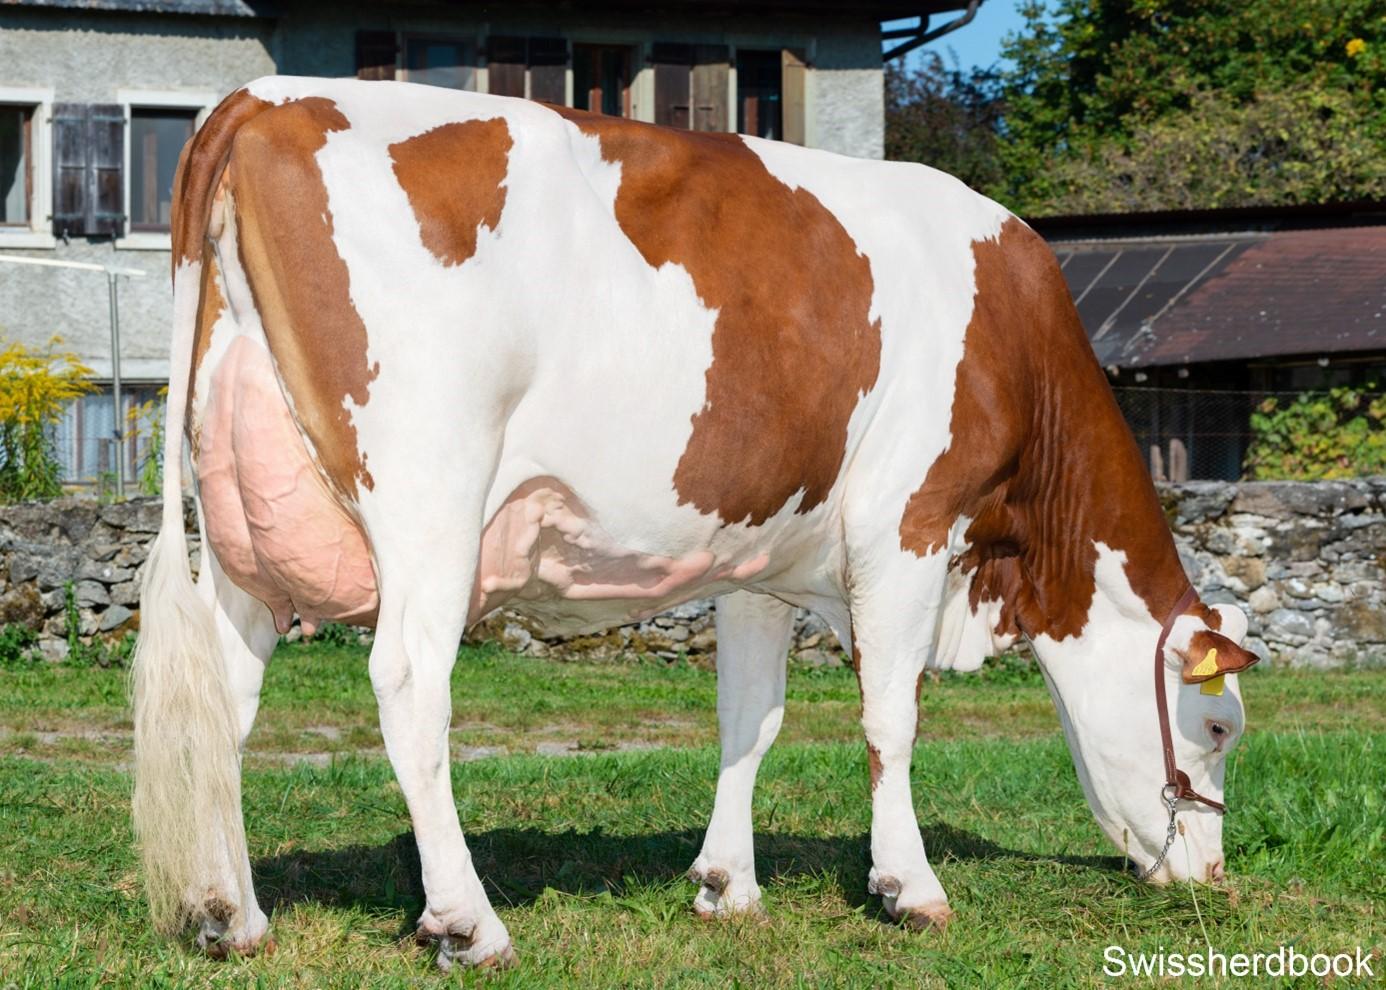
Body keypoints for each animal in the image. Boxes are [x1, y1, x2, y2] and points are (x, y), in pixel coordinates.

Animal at [132, 76, 1259, 969]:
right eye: (1215, 729)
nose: (1212, 878)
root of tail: (260, 99)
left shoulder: (761, 557)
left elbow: (749, 716)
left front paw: (727, 885)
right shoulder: (906, 521)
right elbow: (891, 716)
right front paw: (910, 887)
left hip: (244, 518)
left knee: (224, 701)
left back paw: (232, 915)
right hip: (429, 494)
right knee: (410, 686)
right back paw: (467, 923)